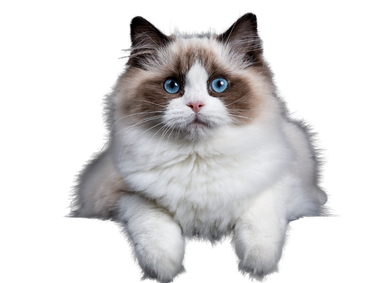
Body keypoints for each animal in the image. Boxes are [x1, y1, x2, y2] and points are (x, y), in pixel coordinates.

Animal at [68, 12, 330, 283]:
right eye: (172, 86)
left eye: (219, 85)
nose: (195, 104)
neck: (198, 157)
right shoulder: (123, 195)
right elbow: (152, 227)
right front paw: (164, 271)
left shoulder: (276, 186)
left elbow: (259, 228)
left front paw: (257, 269)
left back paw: (320, 196)